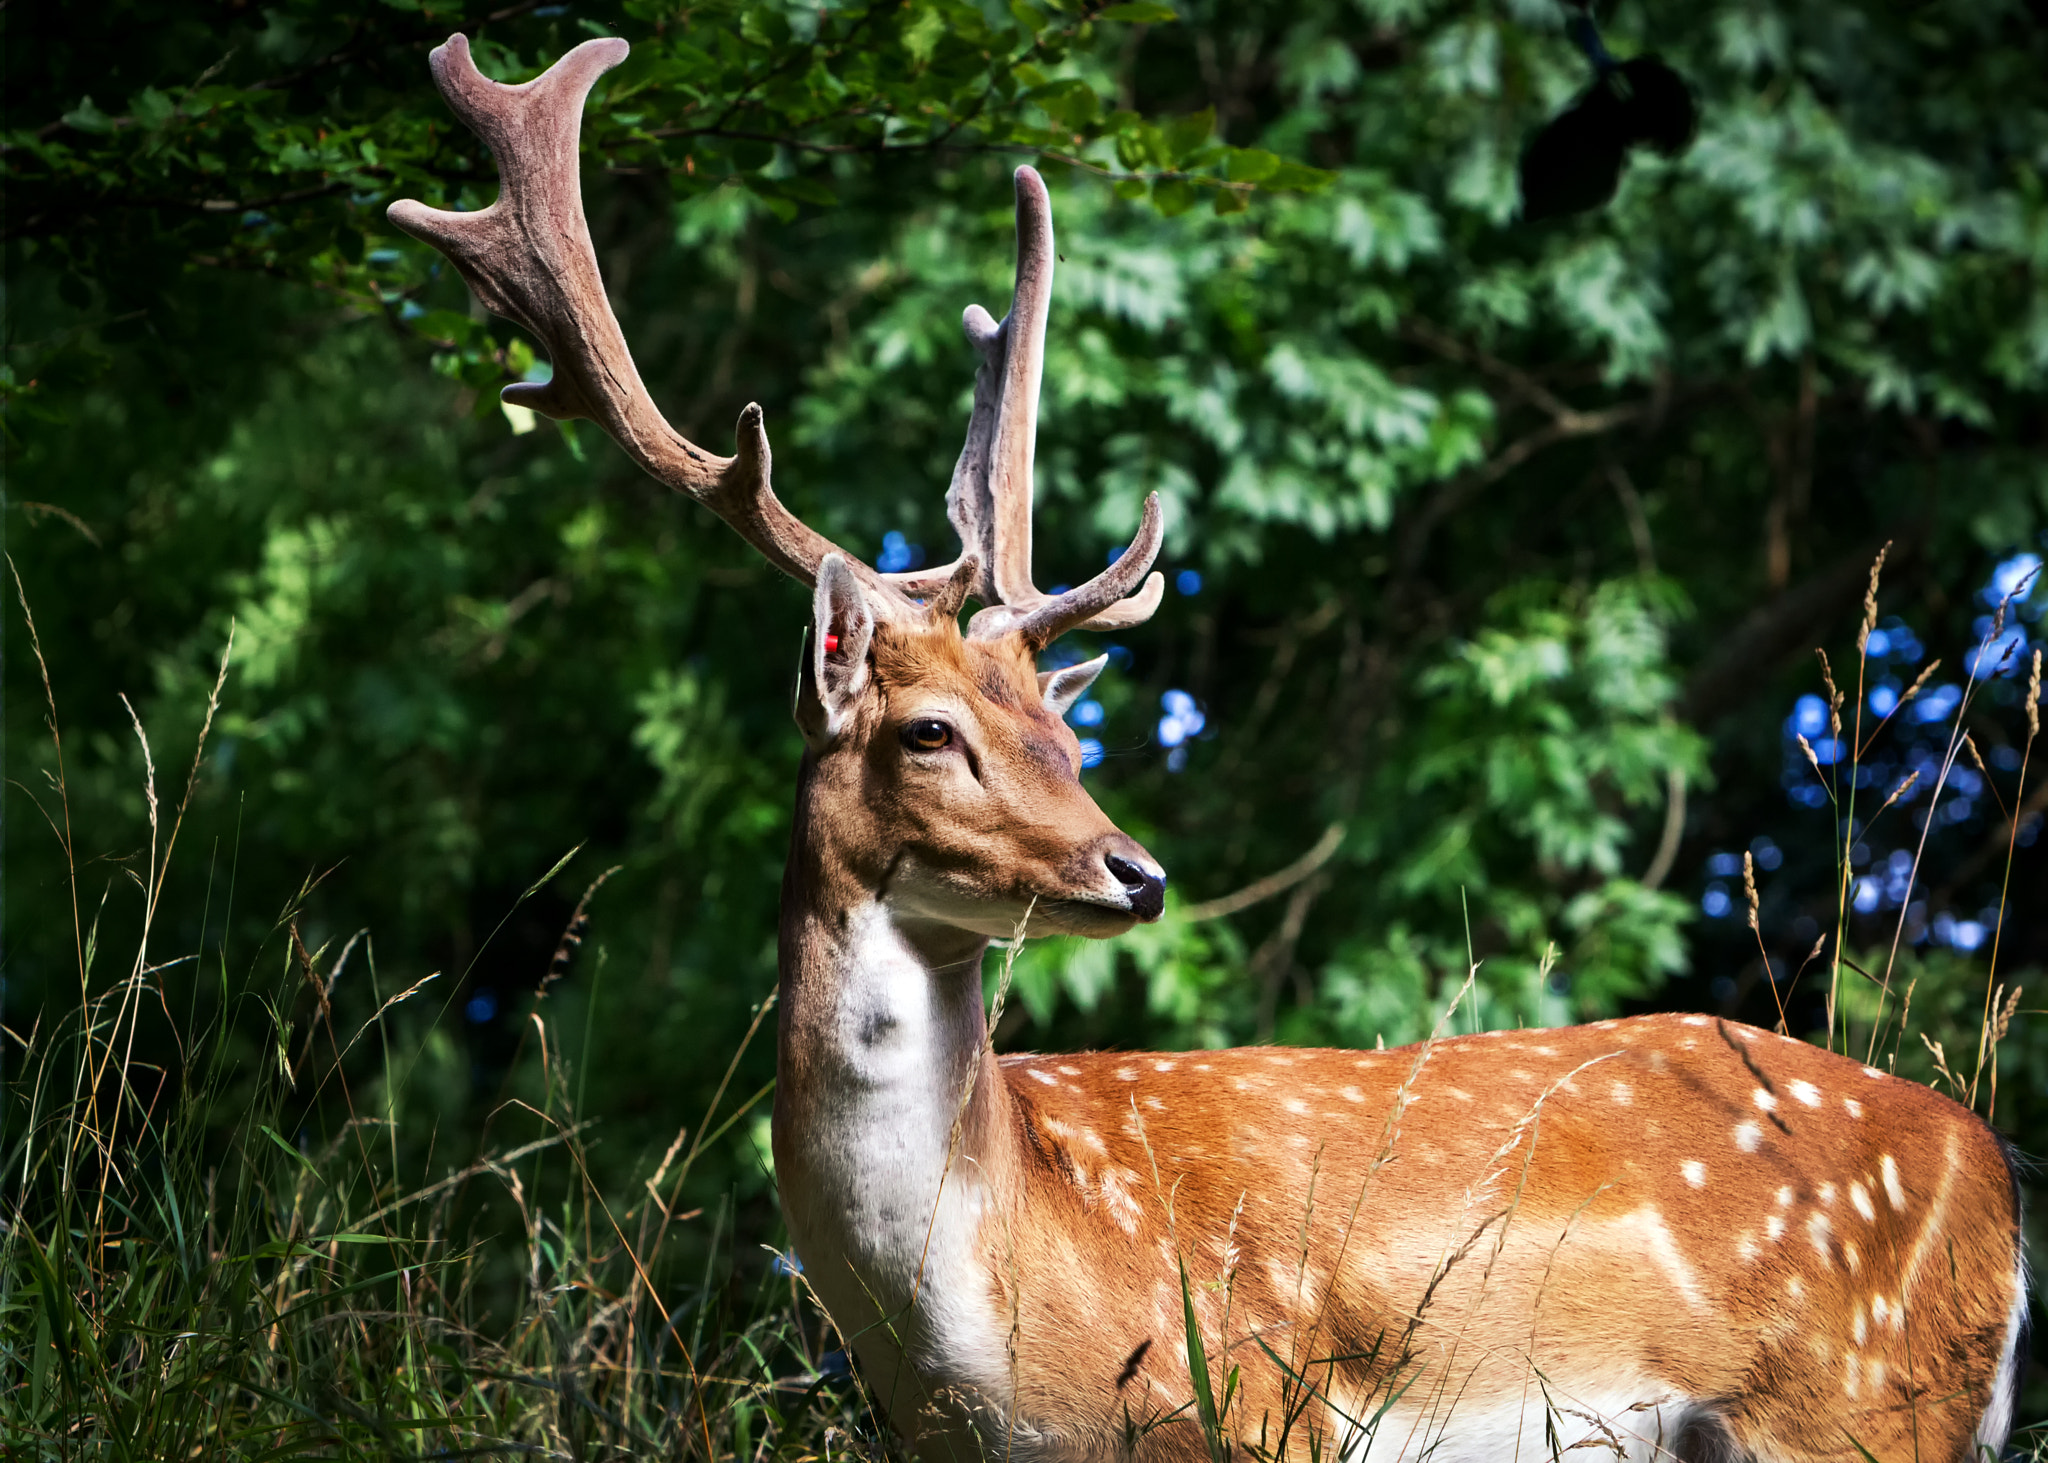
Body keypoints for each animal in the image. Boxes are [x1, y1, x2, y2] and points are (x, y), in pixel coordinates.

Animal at [391, 35, 2029, 1463]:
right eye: (932, 730)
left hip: (1858, 1403)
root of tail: (2000, 1185)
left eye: (1063, 728)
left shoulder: (1259, 1402)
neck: (985, 1333)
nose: (1137, 871)